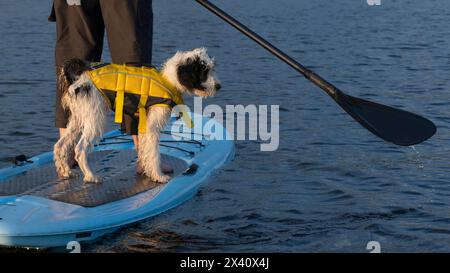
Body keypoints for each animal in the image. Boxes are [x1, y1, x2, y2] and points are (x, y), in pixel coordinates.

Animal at [54, 47, 221, 183]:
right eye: (204, 72)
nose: (219, 86)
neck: (168, 81)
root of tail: (79, 79)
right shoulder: (152, 126)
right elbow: (154, 152)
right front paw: (158, 176)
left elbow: (145, 149)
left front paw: (149, 171)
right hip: (94, 119)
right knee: (80, 149)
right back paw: (91, 176)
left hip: (78, 119)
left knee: (60, 145)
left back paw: (66, 172)